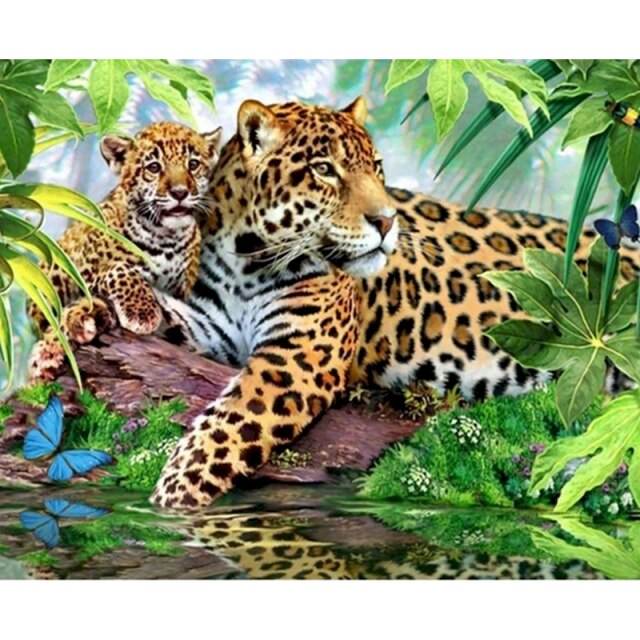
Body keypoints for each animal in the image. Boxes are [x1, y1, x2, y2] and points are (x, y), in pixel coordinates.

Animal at [28, 121, 222, 381]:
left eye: (193, 164)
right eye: (153, 167)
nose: (180, 193)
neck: (165, 237)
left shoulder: (182, 294)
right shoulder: (84, 274)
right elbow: (118, 268)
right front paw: (142, 312)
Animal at [112, 98, 635, 510]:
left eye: (376, 168)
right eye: (324, 170)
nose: (387, 221)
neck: (247, 259)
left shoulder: (300, 357)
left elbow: (227, 427)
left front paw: (170, 496)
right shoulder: (210, 328)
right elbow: (163, 319)